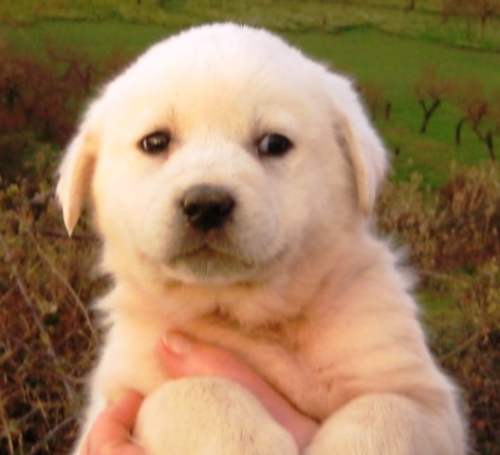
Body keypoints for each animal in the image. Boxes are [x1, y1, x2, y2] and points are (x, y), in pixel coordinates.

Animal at [57, 23, 466, 455]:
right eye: (155, 142)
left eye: (274, 143)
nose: (206, 204)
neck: (247, 317)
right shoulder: (116, 398)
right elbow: (188, 391)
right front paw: (240, 439)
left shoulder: (425, 397)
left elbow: (390, 411)